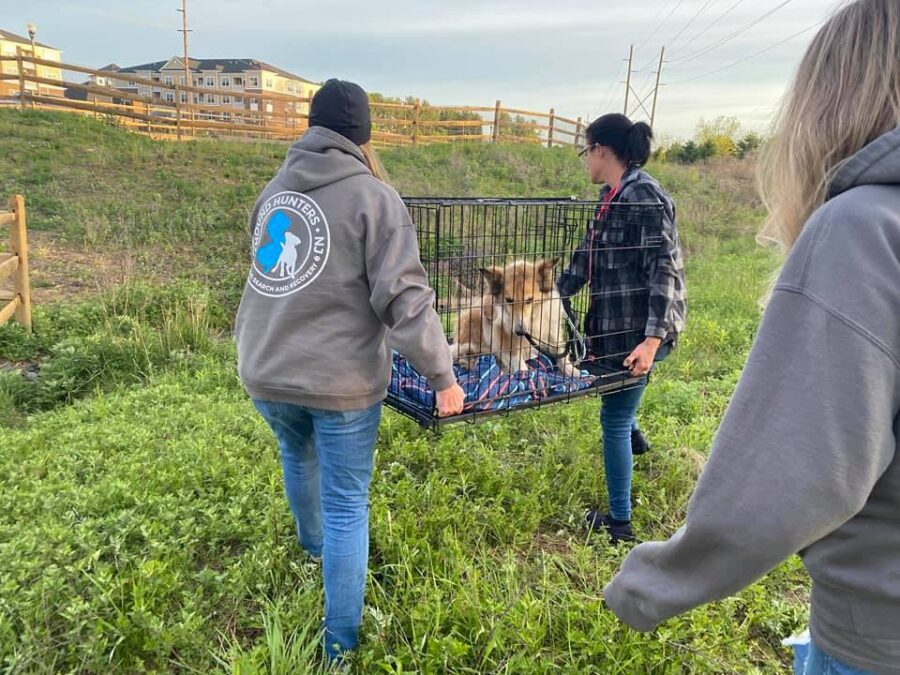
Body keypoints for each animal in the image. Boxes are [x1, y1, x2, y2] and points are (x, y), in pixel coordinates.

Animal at [448, 258, 580, 378]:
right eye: (509, 300)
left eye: (529, 300)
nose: (520, 331)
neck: (533, 318)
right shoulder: (503, 333)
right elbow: (516, 358)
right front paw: (523, 375)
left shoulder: (552, 330)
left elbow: (560, 353)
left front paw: (572, 371)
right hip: (478, 319)